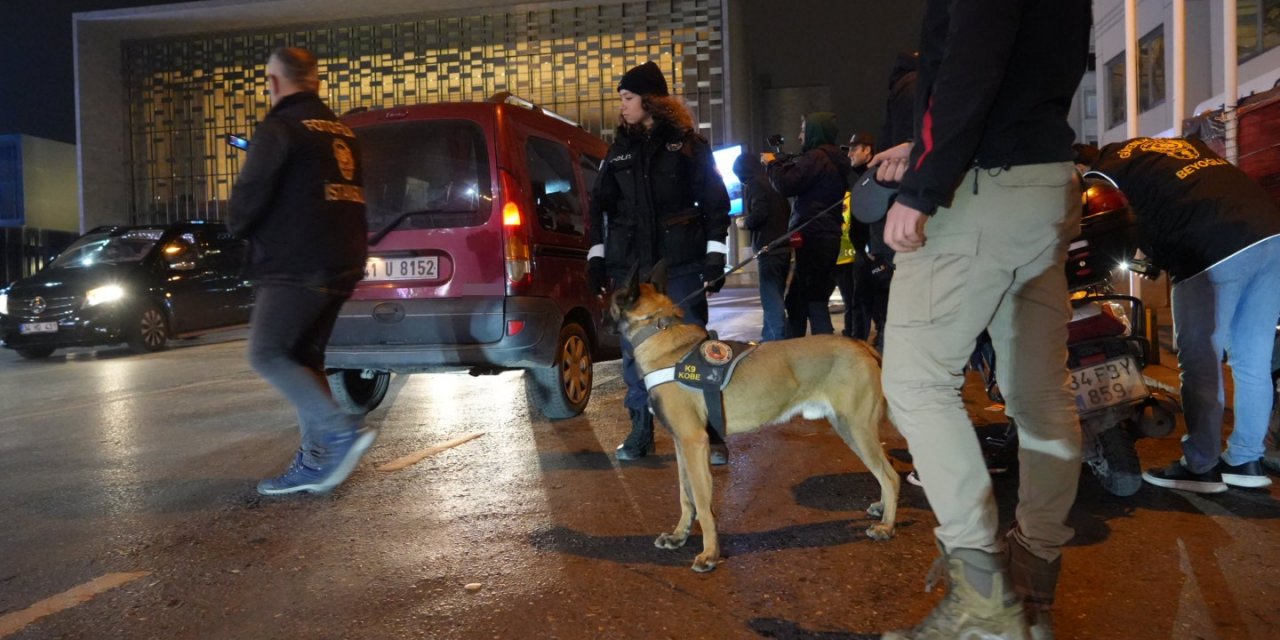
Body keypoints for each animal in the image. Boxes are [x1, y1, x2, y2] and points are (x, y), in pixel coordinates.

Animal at [609, 262, 901, 573]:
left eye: (610, 297)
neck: (658, 332)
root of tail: (863, 346)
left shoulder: (694, 442)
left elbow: (702, 503)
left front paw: (709, 553)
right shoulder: (681, 444)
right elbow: (685, 496)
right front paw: (679, 536)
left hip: (855, 429)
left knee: (891, 476)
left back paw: (887, 526)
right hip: (850, 429)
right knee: (886, 469)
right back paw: (882, 509)